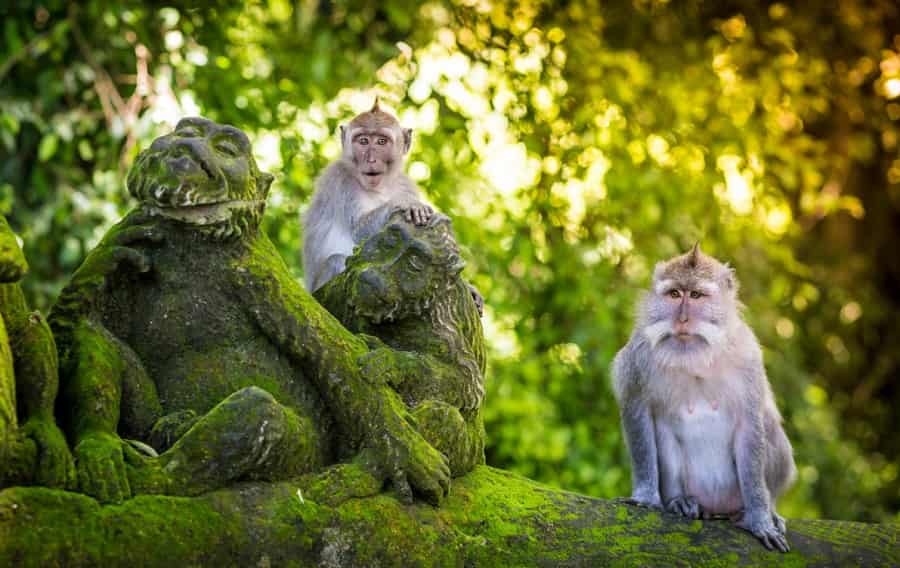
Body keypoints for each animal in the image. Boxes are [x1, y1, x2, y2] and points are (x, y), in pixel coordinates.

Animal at [612, 246, 796, 552]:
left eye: (696, 295)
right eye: (675, 294)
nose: (682, 320)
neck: (695, 357)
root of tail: (716, 508)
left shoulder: (748, 357)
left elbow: (751, 425)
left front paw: (760, 518)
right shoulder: (638, 357)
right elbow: (637, 414)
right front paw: (646, 496)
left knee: (769, 426)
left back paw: (762, 510)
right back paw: (680, 501)